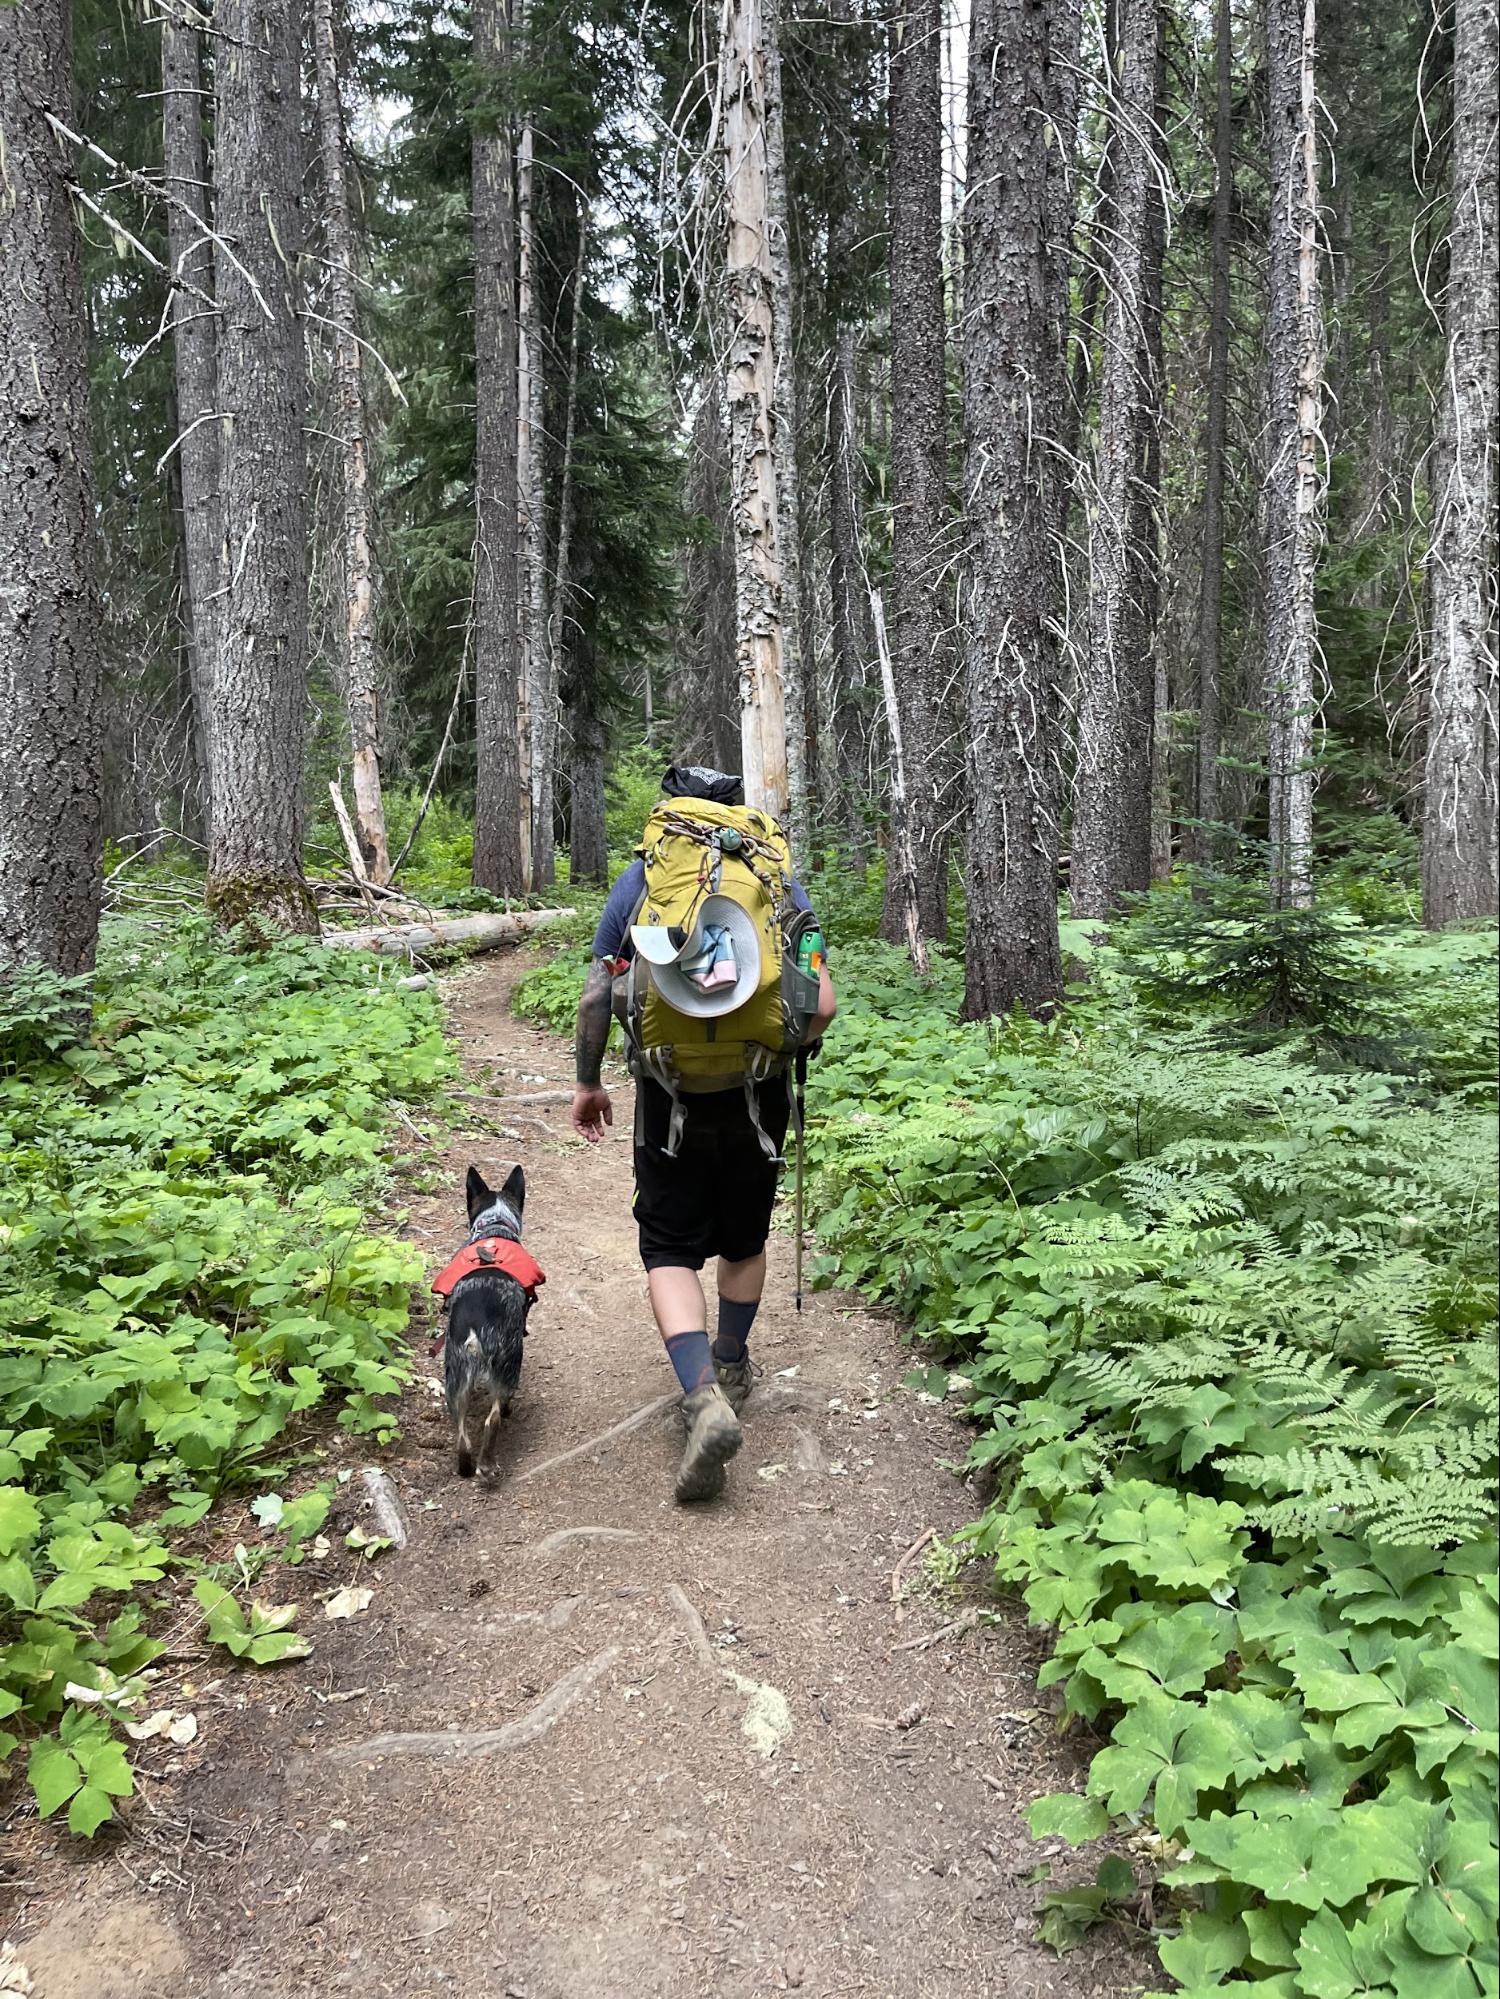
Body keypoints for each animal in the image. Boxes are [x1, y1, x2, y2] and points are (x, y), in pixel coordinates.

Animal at [432, 1167, 548, 1479]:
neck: (494, 1228)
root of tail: (475, 1331)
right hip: (508, 1364)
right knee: (492, 1420)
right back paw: (486, 1464)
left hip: (455, 1375)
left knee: (461, 1433)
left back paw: (465, 1466)